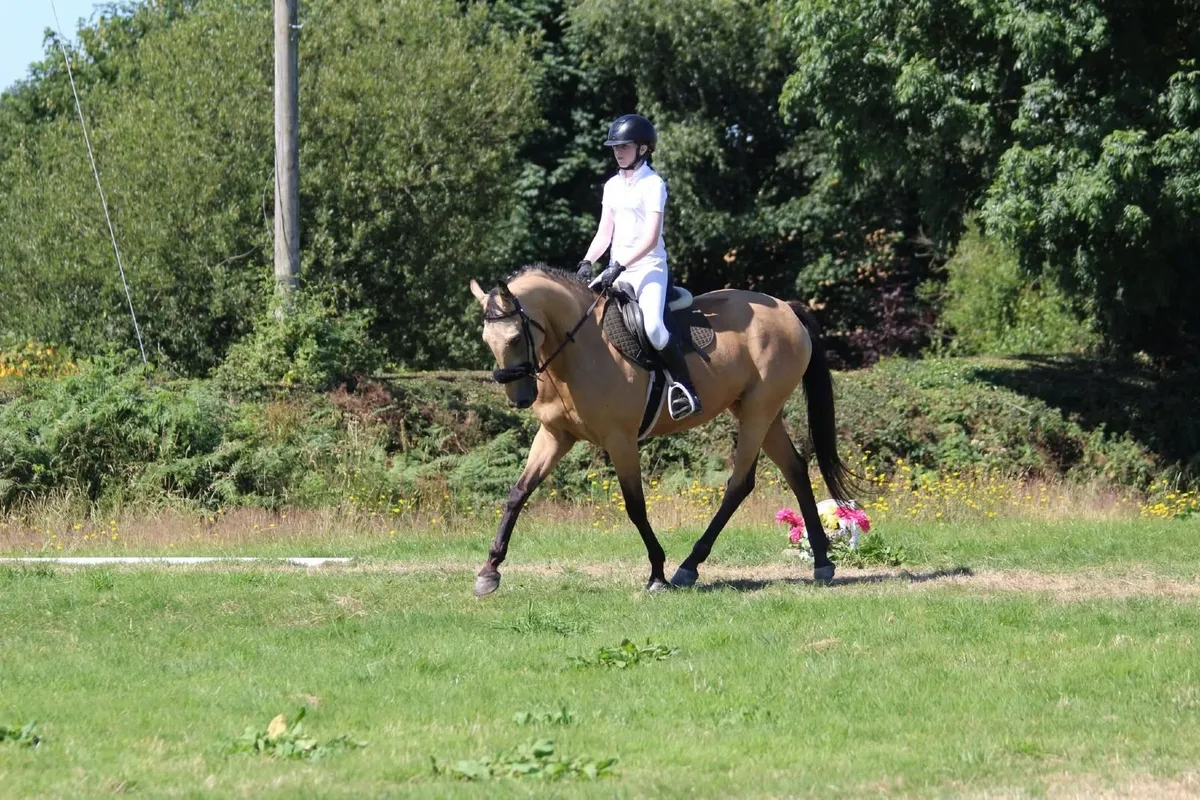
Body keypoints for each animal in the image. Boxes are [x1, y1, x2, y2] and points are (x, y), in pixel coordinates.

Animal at [467, 266, 856, 596]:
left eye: (514, 338)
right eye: (486, 340)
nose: (520, 397)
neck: (577, 352)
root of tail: (786, 309)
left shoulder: (620, 440)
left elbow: (635, 506)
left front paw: (657, 574)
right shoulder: (554, 435)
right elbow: (518, 493)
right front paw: (489, 571)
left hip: (758, 412)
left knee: (740, 484)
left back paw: (689, 566)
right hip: (760, 412)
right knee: (795, 469)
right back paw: (822, 562)